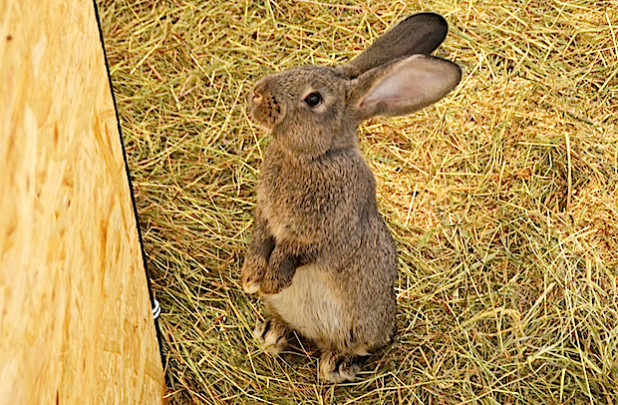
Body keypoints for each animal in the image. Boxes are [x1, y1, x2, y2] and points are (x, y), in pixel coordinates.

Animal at [239, 11, 458, 380]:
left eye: (313, 99)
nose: (257, 94)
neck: (314, 157)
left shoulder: (321, 231)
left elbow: (288, 254)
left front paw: (269, 282)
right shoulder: (265, 217)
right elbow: (260, 241)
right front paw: (251, 280)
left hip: (360, 325)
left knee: (354, 346)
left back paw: (335, 365)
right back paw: (271, 333)